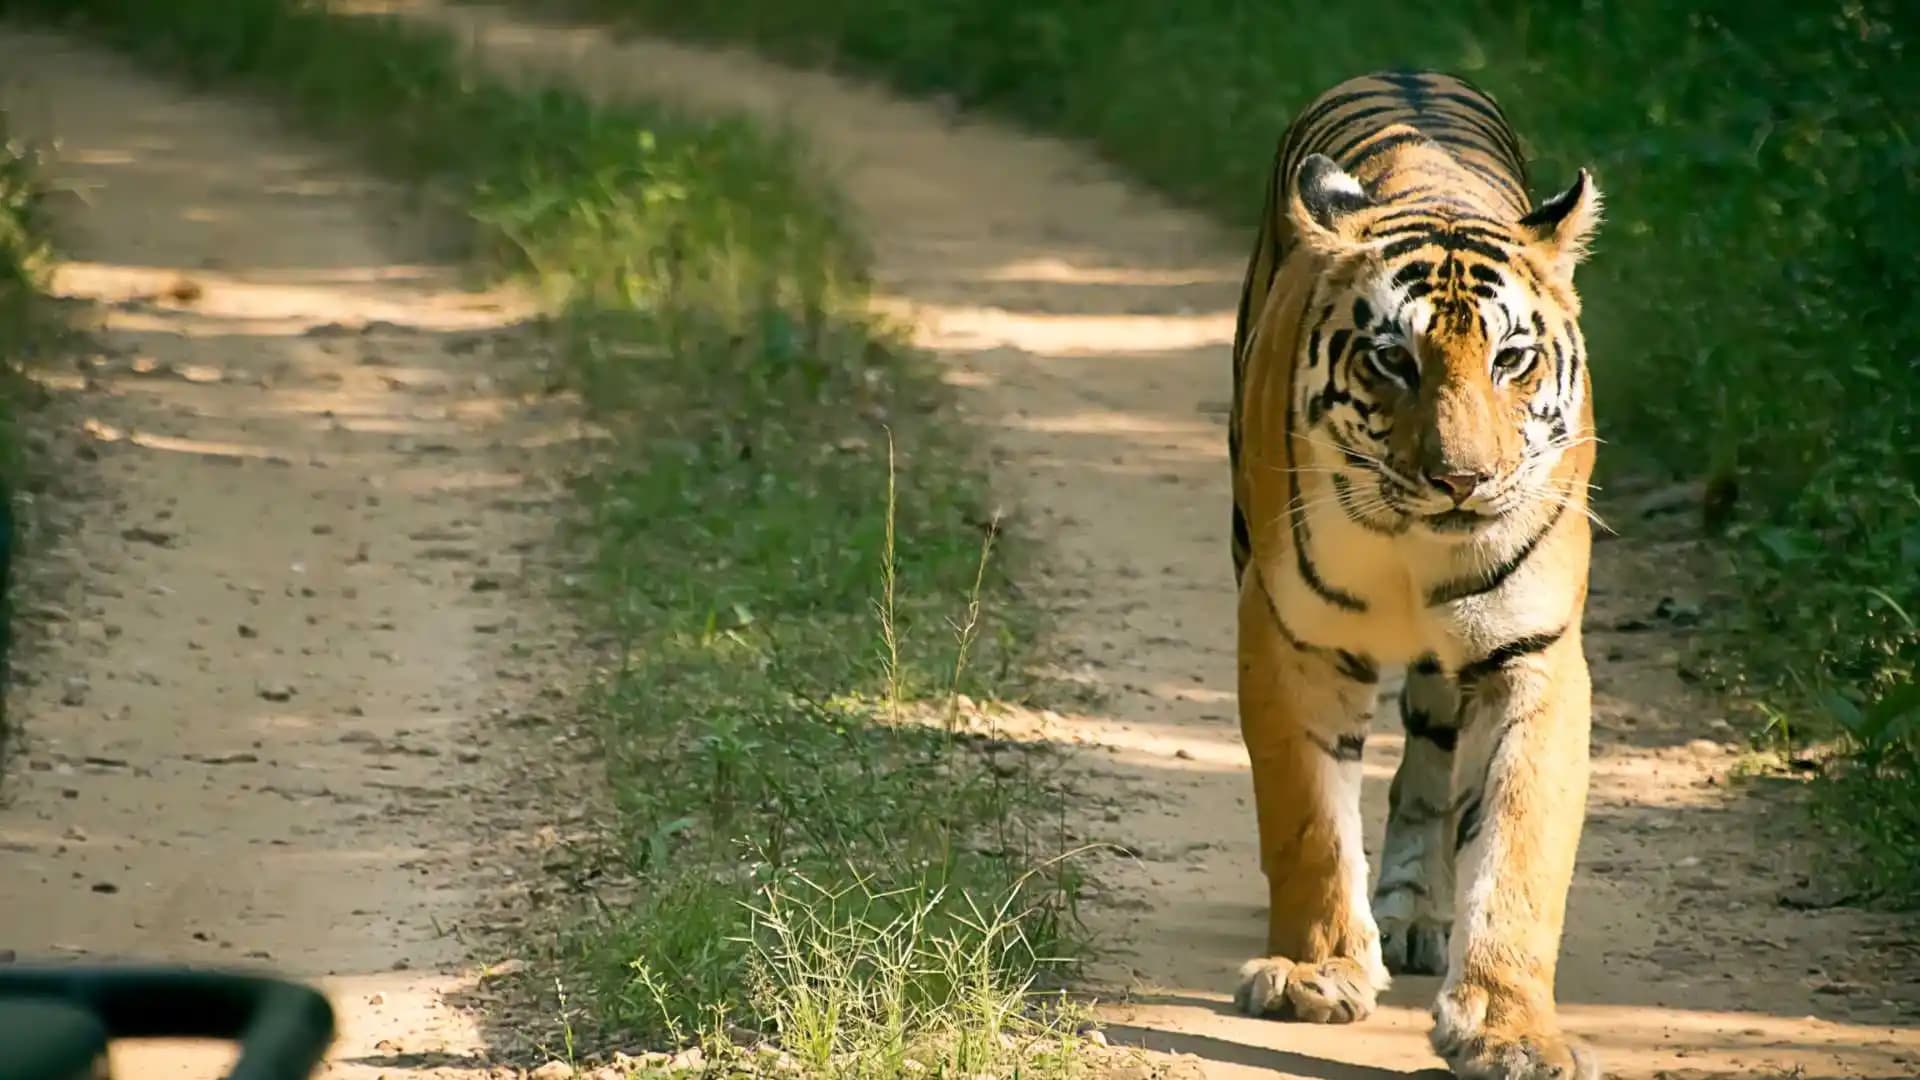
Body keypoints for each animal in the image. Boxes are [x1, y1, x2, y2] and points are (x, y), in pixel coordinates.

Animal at [1226, 70, 1603, 1080]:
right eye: (1393, 359)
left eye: (1513, 359)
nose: (1461, 480)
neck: (1412, 540)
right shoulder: (1289, 634)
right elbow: (1307, 819)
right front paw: (1315, 975)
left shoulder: (1537, 656)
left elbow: (1518, 855)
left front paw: (1509, 1028)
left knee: (1432, 770)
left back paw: (1415, 911)